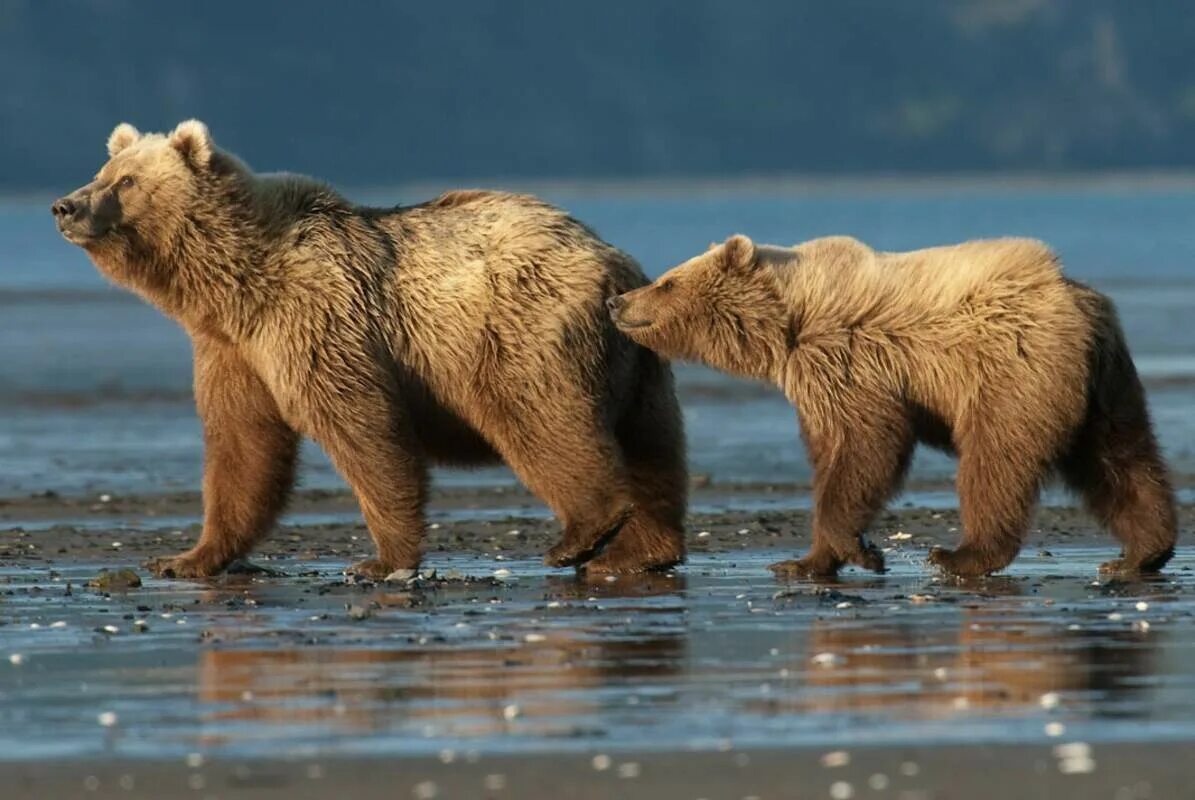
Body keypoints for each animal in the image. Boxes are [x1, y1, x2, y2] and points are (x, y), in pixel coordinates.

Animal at [51, 120, 687, 579]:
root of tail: (615, 264)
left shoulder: (317, 317)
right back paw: (641, 550)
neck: (234, 286)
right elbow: (241, 446)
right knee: (653, 450)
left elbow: (363, 427)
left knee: (542, 420)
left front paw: (379, 560)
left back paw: (582, 534)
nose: (65, 206)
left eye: (126, 181)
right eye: (102, 170)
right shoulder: (232, 352)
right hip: (639, 364)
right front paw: (186, 557)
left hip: (520, 332)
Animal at [607, 233, 1177, 578]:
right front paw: (808, 560)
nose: (618, 301)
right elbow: (833, 456)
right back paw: (1141, 552)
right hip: (1104, 386)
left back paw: (961, 554)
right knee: (1121, 459)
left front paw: (855, 550)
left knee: (997, 461)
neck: (788, 326)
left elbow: (866, 447)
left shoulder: (850, 360)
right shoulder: (816, 383)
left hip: (1013, 369)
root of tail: (1076, 300)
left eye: (667, 281)